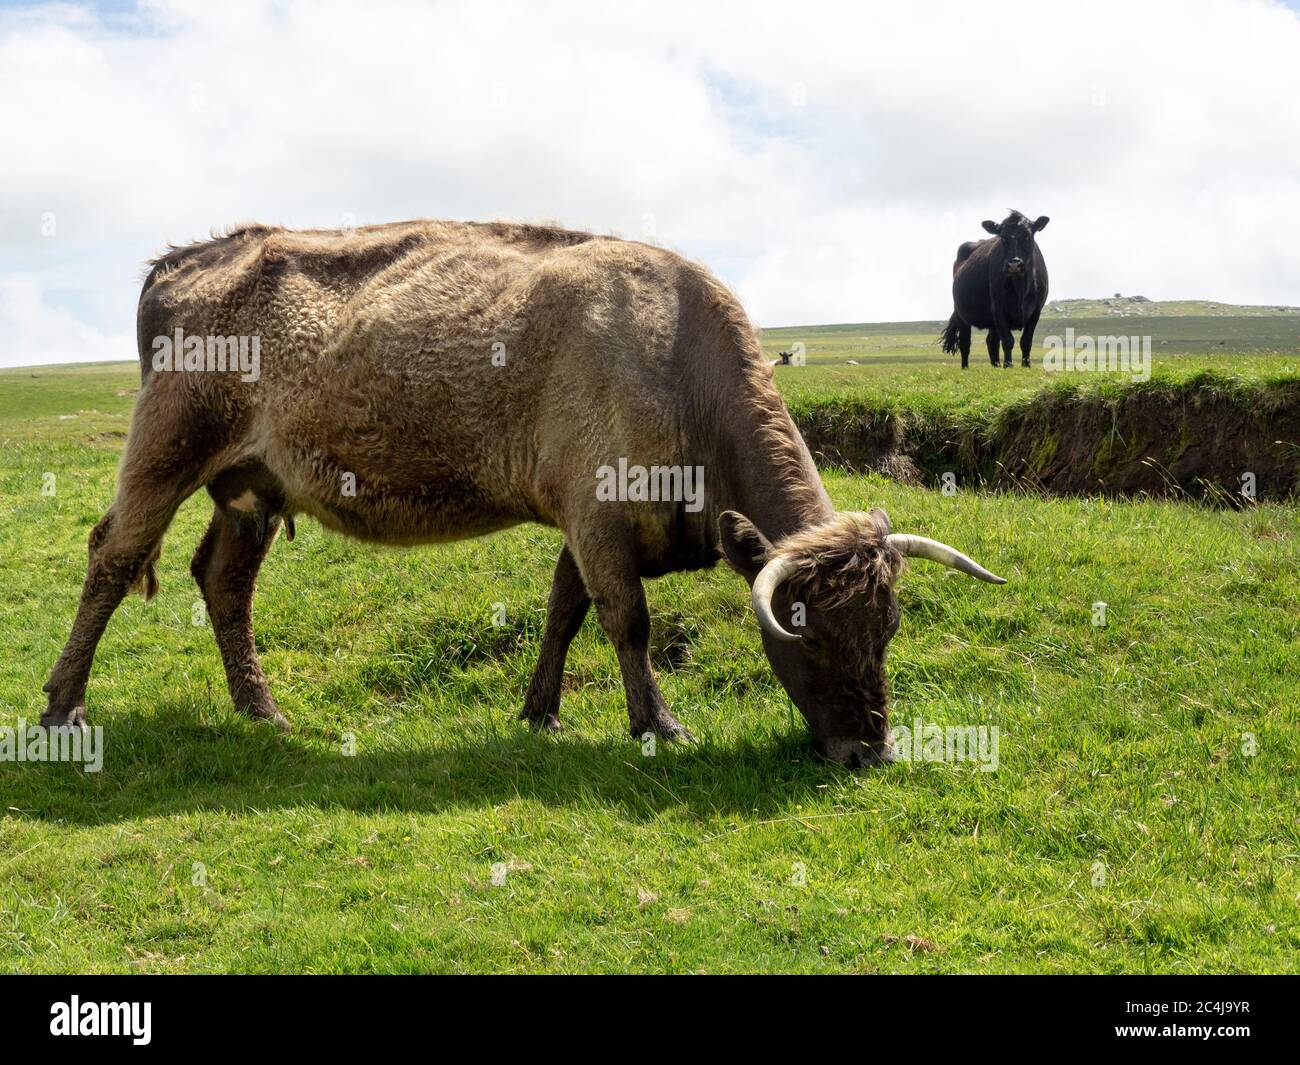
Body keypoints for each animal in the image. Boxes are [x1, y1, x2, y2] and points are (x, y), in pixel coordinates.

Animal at [41, 220, 1006, 768]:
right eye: (799, 624)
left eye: (888, 626)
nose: (868, 752)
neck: (677, 362)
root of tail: (185, 259)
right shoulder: (597, 509)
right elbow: (627, 619)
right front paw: (659, 725)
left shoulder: (584, 521)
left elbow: (563, 607)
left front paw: (541, 711)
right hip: (166, 449)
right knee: (113, 555)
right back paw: (61, 706)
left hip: (251, 487)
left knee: (223, 582)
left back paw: (264, 713)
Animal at [940, 210, 1050, 369]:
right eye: (1003, 237)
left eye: (1027, 236)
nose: (1014, 264)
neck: (1020, 289)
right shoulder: (997, 308)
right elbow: (1008, 341)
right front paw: (1008, 365)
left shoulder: (1036, 311)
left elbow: (1026, 342)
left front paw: (1026, 365)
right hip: (961, 314)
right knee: (965, 343)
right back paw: (966, 368)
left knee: (991, 341)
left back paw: (996, 365)